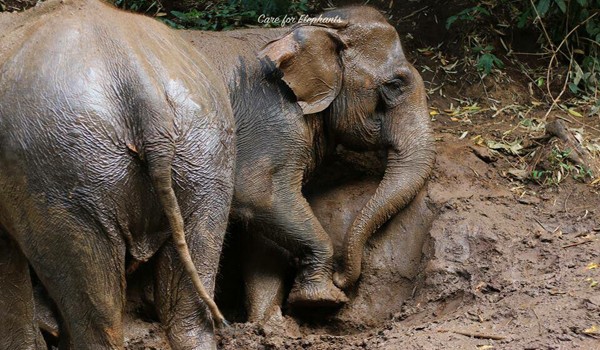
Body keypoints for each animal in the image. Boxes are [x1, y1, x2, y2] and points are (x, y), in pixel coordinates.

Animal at [184, 6, 436, 308]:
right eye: (396, 84)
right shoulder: (273, 118)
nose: (341, 277)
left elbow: (262, 232)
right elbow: (259, 195)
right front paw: (322, 299)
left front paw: (274, 318)